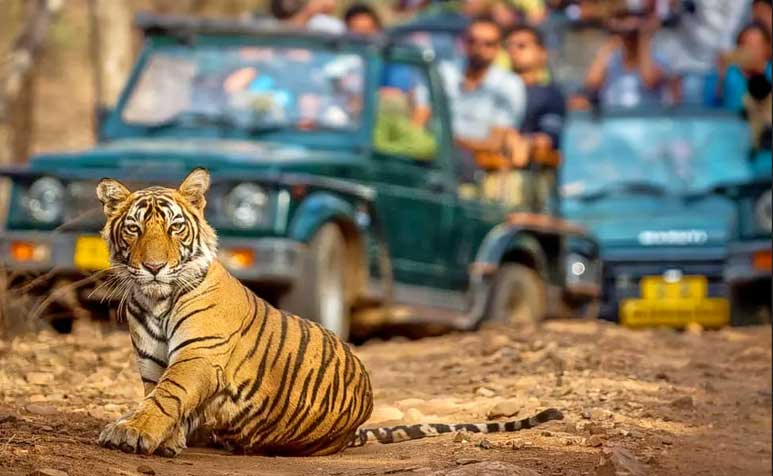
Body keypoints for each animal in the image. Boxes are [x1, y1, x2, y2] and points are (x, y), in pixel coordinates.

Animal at [94, 168, 564, 457]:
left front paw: (133, 432)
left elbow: (166, 396)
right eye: (134, 228)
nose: (154, 267)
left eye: (175, 227)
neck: (155, 299)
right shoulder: (153, 363)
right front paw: (162, 438)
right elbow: (158, 397)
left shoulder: (199, 355)